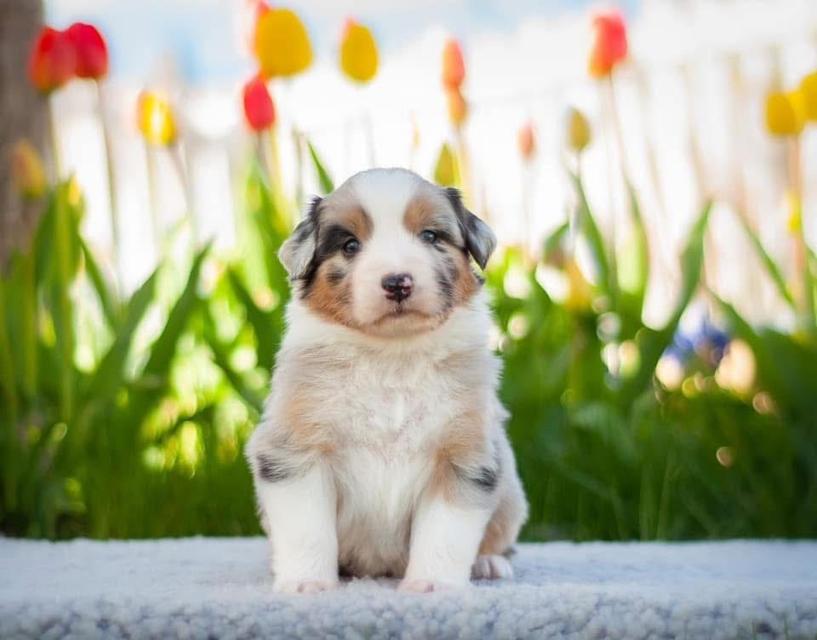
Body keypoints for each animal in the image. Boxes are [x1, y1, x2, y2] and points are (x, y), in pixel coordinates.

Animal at [245, 168, 524, 592]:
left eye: (430, 237)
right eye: (350, 245)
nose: (397, 282)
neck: (392, 356)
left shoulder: (464, 455)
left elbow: (445, 532)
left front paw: (432, 585)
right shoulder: (296, 451)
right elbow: (307, 529)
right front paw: (307, 584)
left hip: (509, 492)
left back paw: (489, 563)